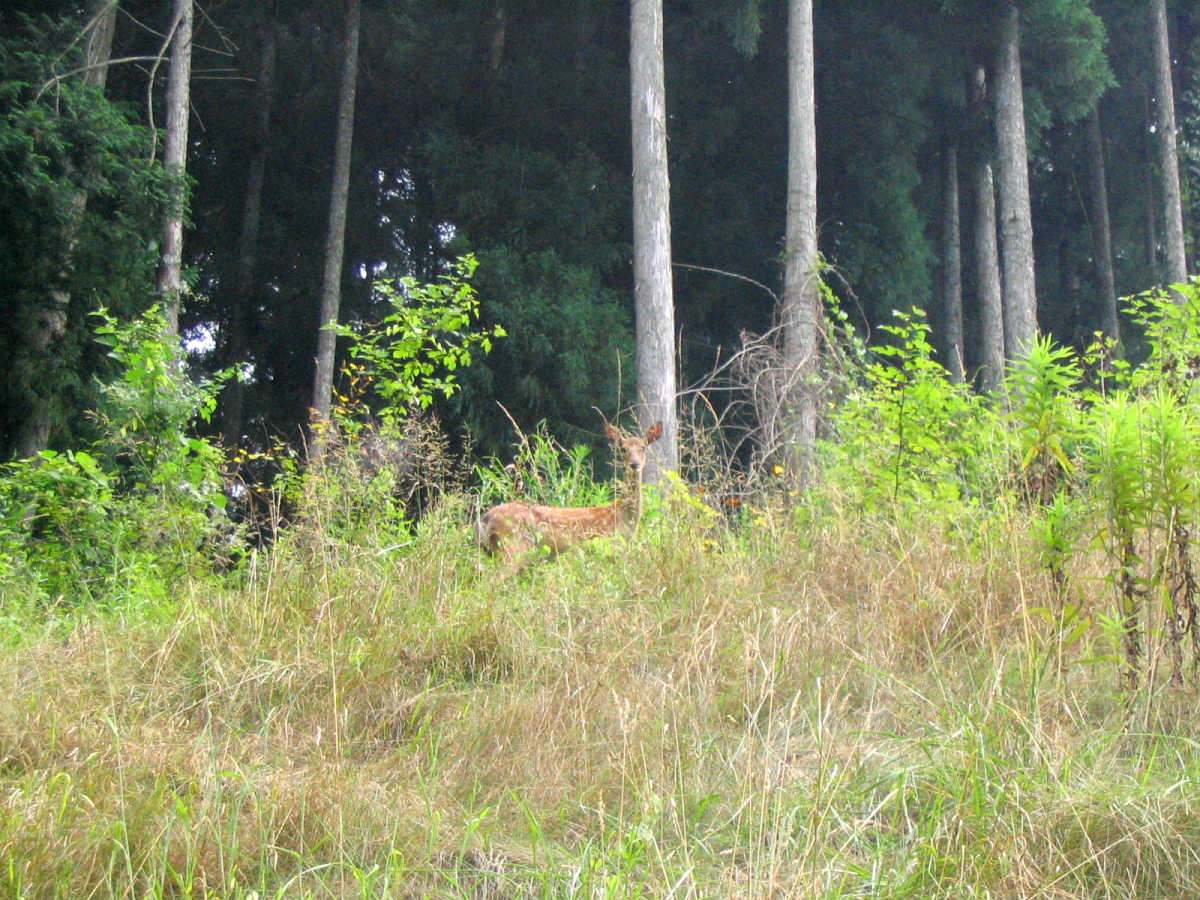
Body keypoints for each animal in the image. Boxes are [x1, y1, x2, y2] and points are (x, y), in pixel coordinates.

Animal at [477, 422, 667, 573]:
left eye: (643, 447)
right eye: (623, 449)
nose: (634, 464)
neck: (623, 517)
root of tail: (485, 518)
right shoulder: (609, 547)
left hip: (493, 551)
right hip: (514, 547)